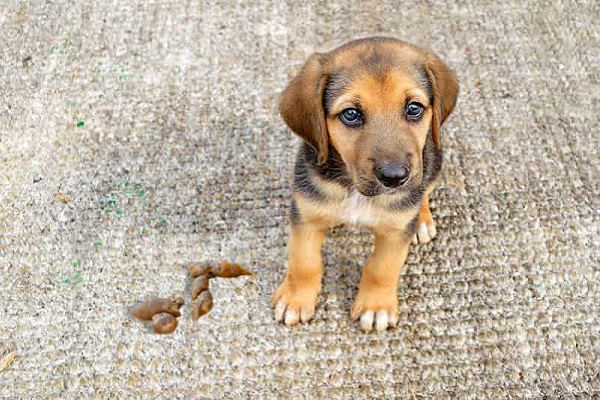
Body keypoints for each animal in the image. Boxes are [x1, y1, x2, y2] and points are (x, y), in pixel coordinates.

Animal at [272, 36, 460, 332]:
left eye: (414, 108)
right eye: (351, 114)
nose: (394, 177)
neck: (354, 190)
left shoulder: (395, 232)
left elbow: (382, 268)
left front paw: (375, 306)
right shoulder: (305, 216)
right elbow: (304, 262)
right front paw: (295, 298)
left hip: (434, 161)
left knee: (425, 192)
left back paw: (422, 221)